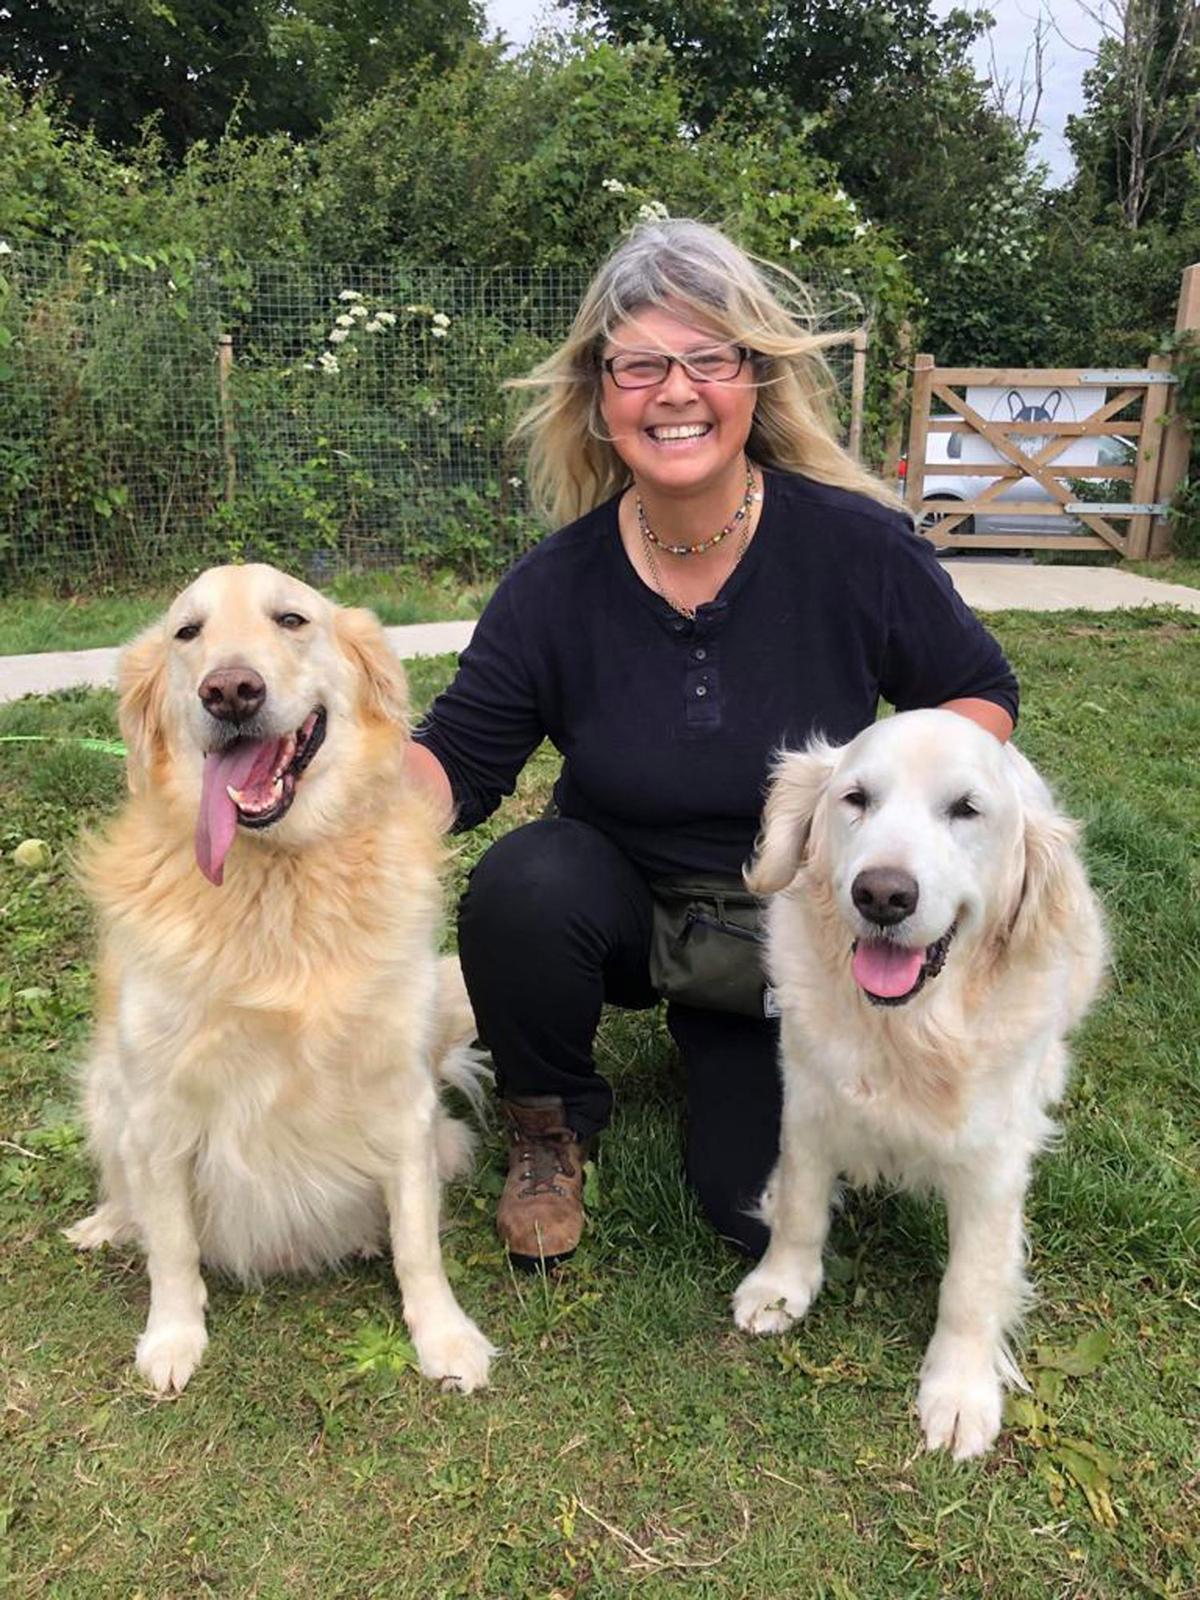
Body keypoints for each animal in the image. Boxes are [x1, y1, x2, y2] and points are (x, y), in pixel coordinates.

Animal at [66, 569, 499, 1395]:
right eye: (187, 632)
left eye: (291, 619)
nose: (230, 691)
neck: (277, 879)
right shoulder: (158, 1107)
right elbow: (172, 1244)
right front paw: (172, 1338)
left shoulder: (401, 1096)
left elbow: (418, 1241)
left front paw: (444, 1336)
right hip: (107, 1089)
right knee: (126, 1188)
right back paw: (107, 1223)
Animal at [732, 713, 1107, 1465]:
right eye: (856, 799)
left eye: (965, 809)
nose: (881, 893)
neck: (906, 1032)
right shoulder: (808, 1102)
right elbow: (801, 1208)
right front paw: (780, 1289)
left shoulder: (993, 1163)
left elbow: (971, 1282)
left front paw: (959, 1392)